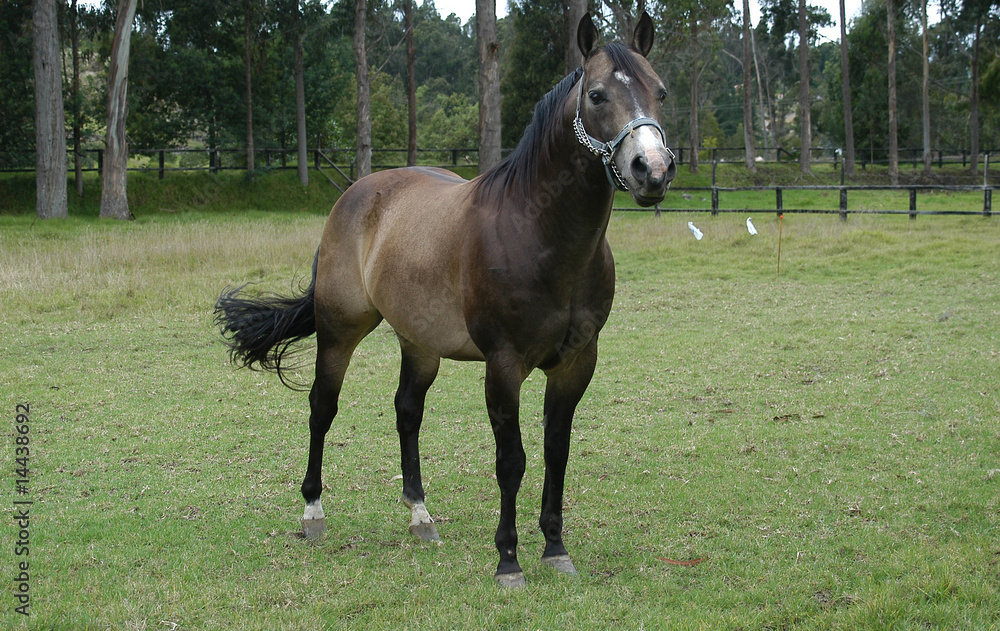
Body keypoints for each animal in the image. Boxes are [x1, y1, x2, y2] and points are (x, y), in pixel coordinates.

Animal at [214, 12, 675, 588]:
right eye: (596, 96)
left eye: (660, 91)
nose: (651, 170)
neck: (538, 232)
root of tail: (355, 194)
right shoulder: (504, 365)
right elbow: (511, 461)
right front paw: (508, 561)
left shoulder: (575, 363)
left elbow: (557, 452)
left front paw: (555, 548)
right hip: (339, 331)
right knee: (322, 407)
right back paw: (313, 513)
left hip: (420, 343)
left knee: (407, 412)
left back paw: (420, 516)